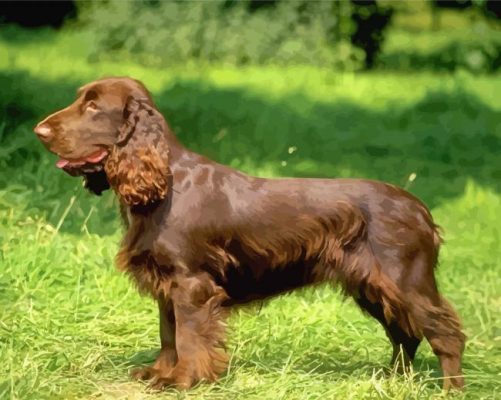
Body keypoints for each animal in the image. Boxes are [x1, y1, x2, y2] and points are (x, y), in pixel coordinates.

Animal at [35, 77, 464, 390]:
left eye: (93, 106)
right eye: (80, 100)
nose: (39, 131)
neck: (165, 184)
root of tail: (422, 210)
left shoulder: (191, 283)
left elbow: (188, 336)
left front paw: (183, 380)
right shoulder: (166, 284)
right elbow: (167, 333)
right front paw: (159, 373)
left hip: (404, 281)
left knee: (445, 333)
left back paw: (449, 389)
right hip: (372, 287)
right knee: (405, 334)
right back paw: (394, 382)